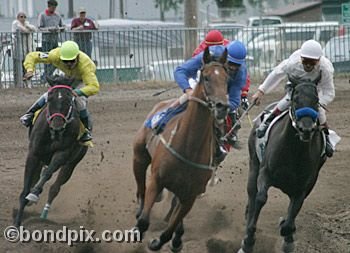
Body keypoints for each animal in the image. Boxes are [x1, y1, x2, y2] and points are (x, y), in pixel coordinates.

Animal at [14, 75, 89, 227]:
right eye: (50, 98)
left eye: (69, 99)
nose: (57, 124)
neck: (54, 133)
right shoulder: (33, 154)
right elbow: (25, 190)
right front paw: (17, 223)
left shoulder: (63, 154)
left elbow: (48, 174)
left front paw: (34, 193)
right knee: (39, 176)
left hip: (71, 163)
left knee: (54, 187)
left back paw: (44, 212)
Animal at [133, 47, 228, 251]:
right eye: (206, 77)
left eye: (227, 79)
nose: (222, 106)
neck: (188, 146)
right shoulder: (157, 180)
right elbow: (144, 221)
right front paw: (138, 231)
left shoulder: (191, 194)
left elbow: (170, 228)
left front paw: (161, 241)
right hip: (139, 156)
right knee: (141, 189)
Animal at [238, 79, 328, 253]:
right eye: (295, 99)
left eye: (316, 101)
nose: (305, 129)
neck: (294, 150)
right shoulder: (265, 173)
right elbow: (260, 198)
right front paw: (248, 240)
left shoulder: (303, 186)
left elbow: (292, 214)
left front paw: (288, 236)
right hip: (254, 164)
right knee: (252, 195)